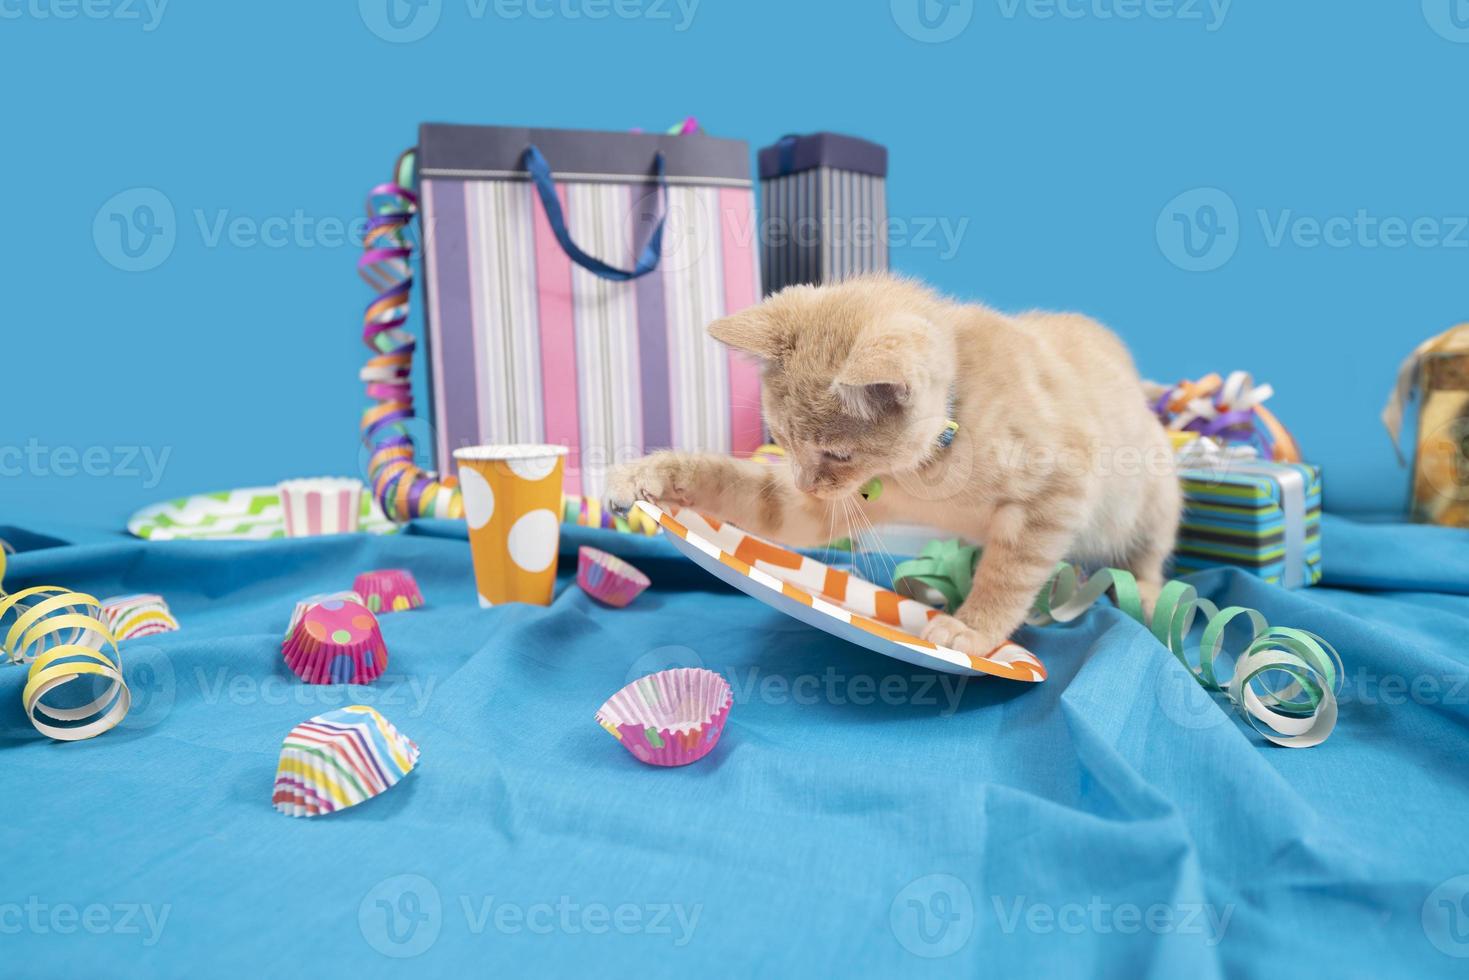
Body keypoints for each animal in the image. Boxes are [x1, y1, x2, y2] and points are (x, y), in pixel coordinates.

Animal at [602, 276, 1175, 658]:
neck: (932, 463)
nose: (806, 481)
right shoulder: (818, 505)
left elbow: (1009, 573)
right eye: (783, 440)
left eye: (838, 454)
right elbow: (742, 489)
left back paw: (1146, 593)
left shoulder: (1057, 490)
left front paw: (973, 630)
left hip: (1151, 499)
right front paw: (650, 474)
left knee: (1148, 554)